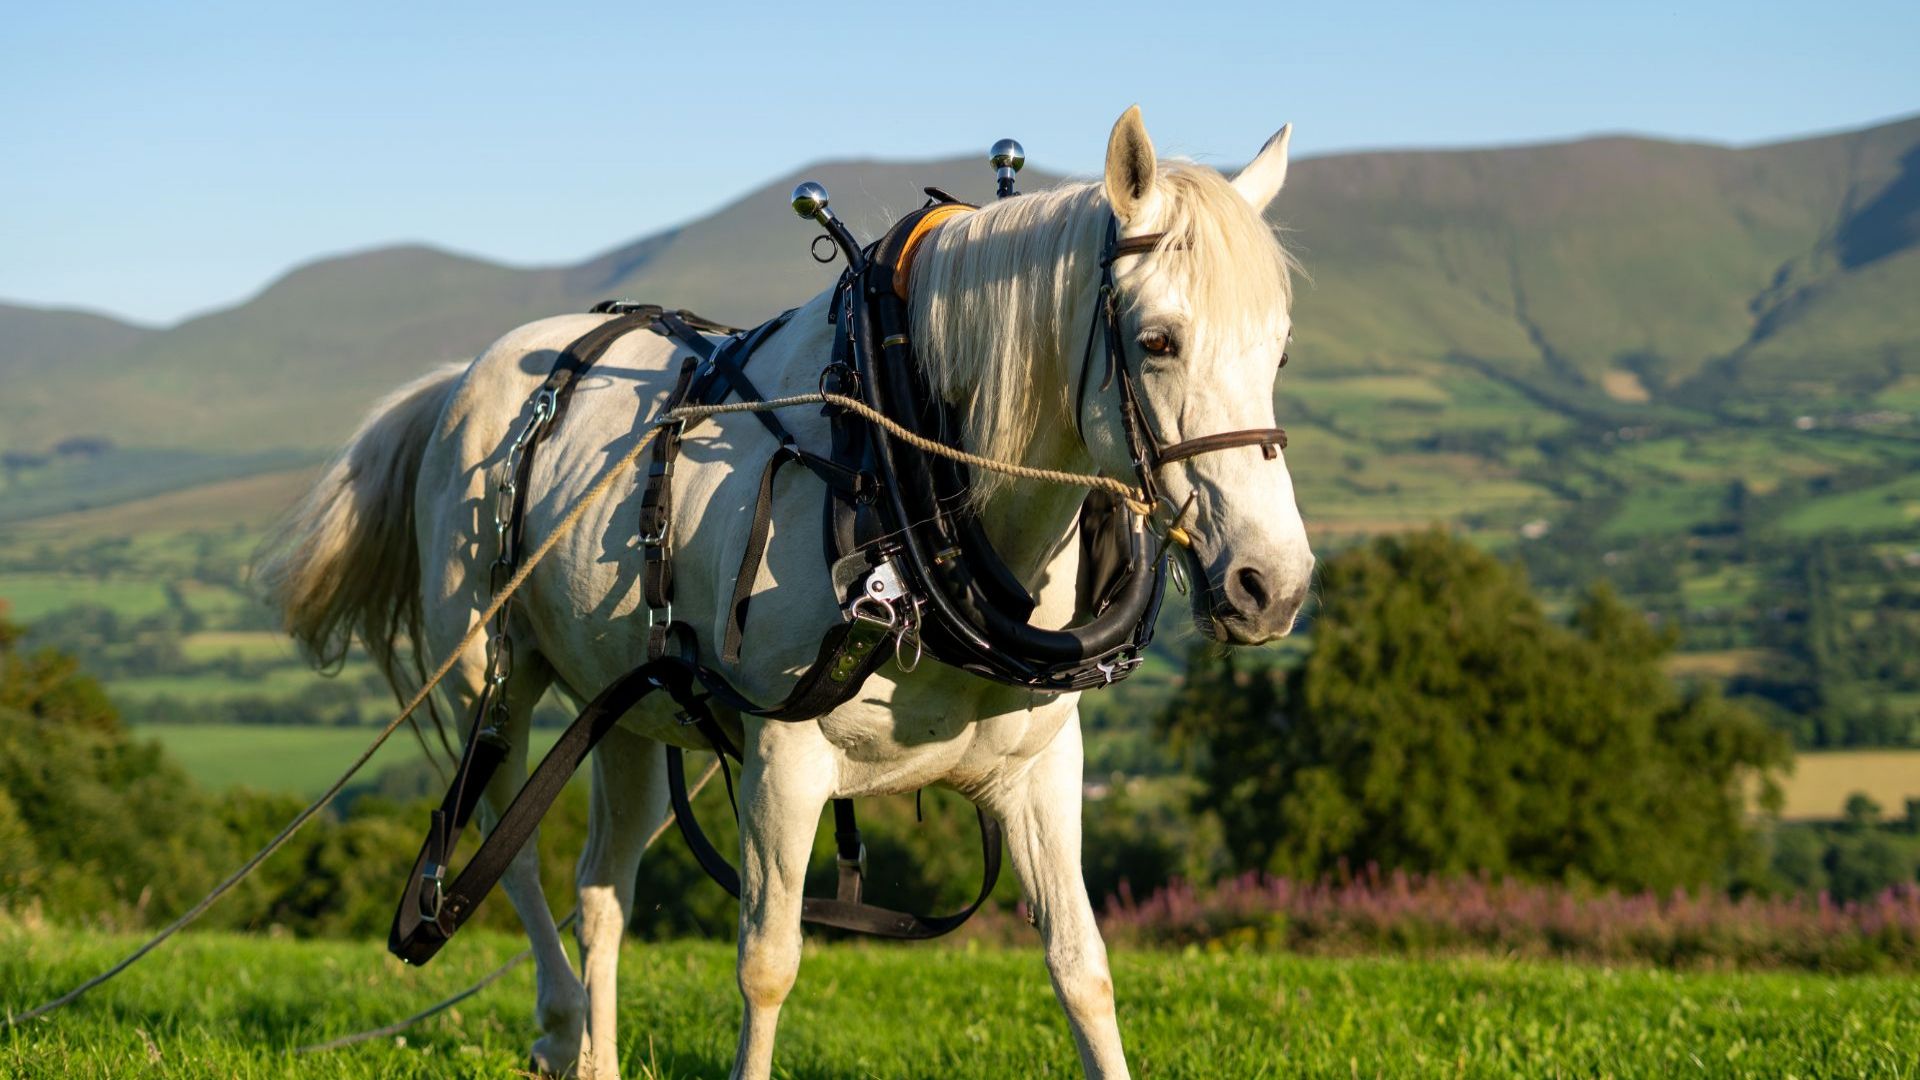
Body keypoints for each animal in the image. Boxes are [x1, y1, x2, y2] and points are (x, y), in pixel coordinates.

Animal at [258, 106, 1313, 1080]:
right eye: (1158, 340)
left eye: (1281, 350)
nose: (1273, 584)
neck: (896, 465)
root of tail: (462, 385)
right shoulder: (784, 760)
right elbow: (767, 964)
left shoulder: (1043, 768)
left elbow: (1081, 966)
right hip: (497, 673)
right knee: (503, 845)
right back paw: (559, 1025)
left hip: (630, 711)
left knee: (602, 888)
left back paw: (595, 1049)